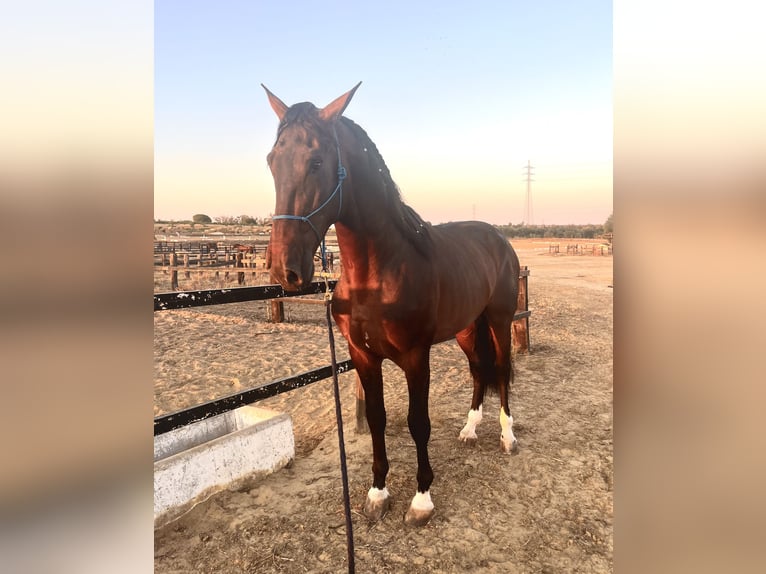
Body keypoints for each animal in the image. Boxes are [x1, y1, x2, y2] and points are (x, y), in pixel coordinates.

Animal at [262, 83, 520, 528]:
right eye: (271, 160)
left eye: (316, 161)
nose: (285, 270)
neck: (377, 274)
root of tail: (498, 238)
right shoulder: (363, 355)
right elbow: (378, 419)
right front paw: (378, 493)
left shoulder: (416, 356)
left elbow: (418, 423)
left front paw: (421, 500)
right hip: (468, 327)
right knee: (477, 371)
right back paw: (470, 430)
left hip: (500, 320)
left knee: (501, 371)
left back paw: (508, 436)